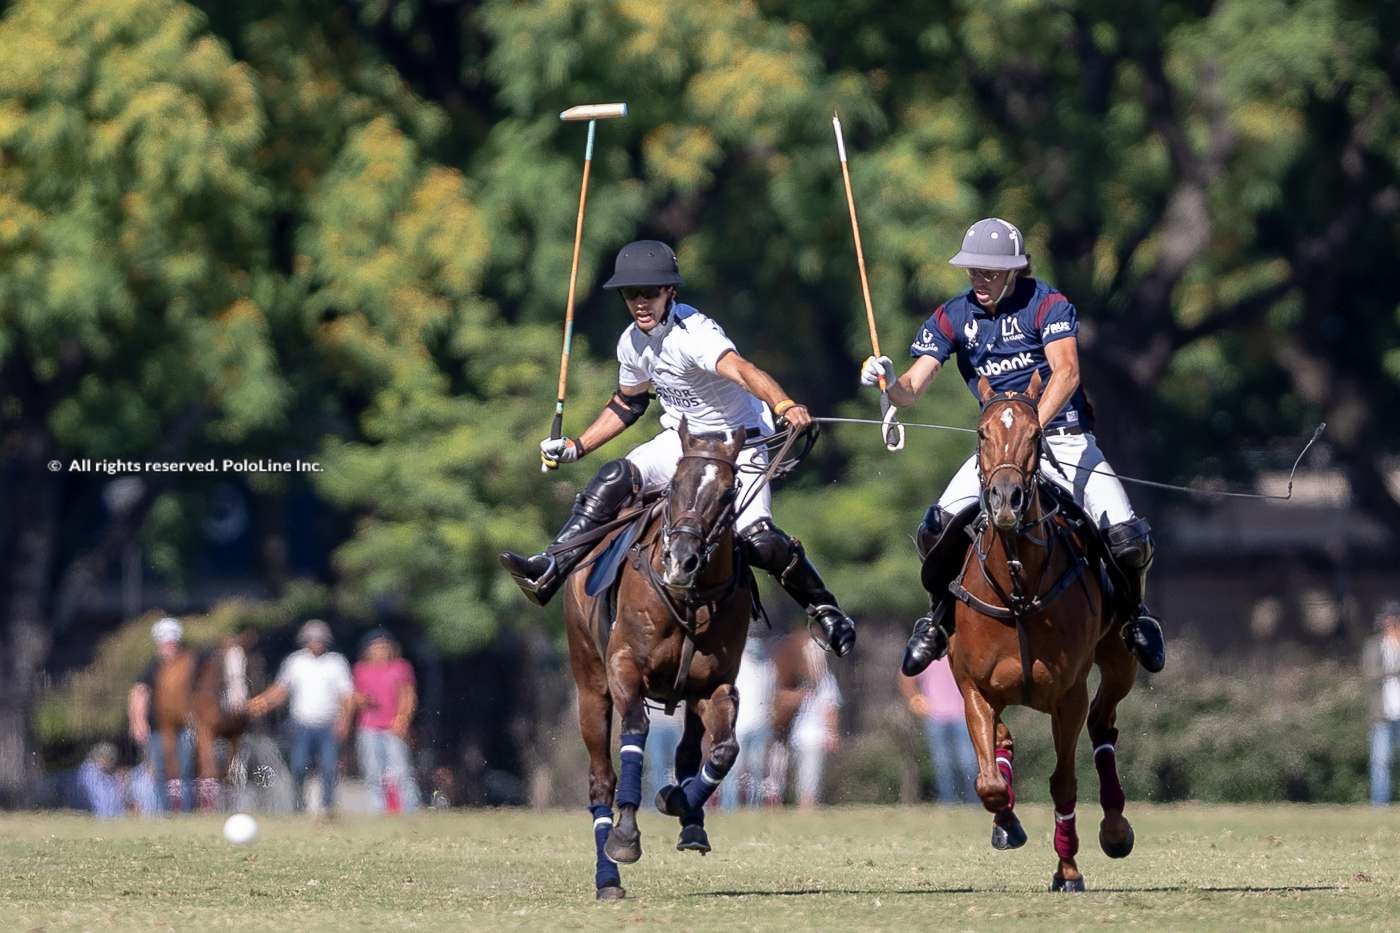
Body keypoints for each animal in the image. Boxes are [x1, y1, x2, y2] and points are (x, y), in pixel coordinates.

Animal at [562, 417, 756, 896]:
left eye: (728, 492)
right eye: (674, 485)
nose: (680, 561)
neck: (691, 599)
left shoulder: (715, 685)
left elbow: (723, 750)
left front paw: (678, 801)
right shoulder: (624, 667)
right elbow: (634, 732)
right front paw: (626, 837)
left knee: (689, 749)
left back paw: (691, 820)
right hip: (590, 686)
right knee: (600, 781)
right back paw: (607, 877)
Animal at [946, 369, 1142, 885]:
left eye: (1036, 435)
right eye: (981, 434)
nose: (1006, 501)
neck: (1018, 586)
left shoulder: (1068, 693)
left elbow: (1064, 782)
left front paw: (1068, 868)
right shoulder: (972, 685)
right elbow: (989, 782)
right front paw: (1007, 821)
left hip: (1120, 660)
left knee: (1103, 725)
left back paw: (1116, 829)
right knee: (1007, 742)